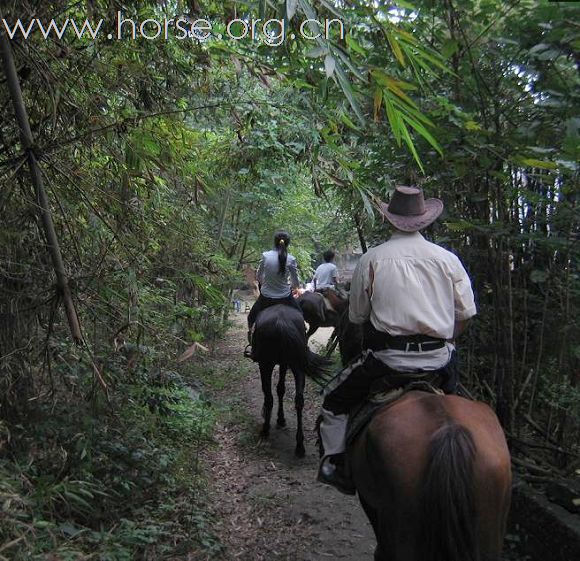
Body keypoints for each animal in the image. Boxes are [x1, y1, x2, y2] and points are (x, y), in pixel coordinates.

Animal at [254, 304, 330, 458]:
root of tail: (282, 322)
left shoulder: (266, 364)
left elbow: (272, 391)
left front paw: (275, 418)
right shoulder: (284, 363)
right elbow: (281, 389)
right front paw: (281, 419)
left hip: (266, 363)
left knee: (269, 397)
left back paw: (265, 431)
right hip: (297, 365)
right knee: (299, 400)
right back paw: (300, 445)